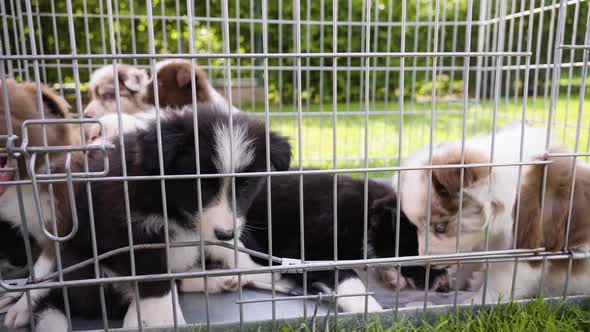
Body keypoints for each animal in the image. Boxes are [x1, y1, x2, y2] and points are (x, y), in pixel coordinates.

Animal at [32, 104, 292, 330]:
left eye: (245, 185)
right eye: (201, 185)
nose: (225, 233)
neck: (170, 201)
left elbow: (228, 247)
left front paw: (255, 268)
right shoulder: (134, 230)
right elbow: (156, 278)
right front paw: (161, 320)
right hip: (83, 267)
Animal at [243, 175, 450, 312]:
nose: (446, 288)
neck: (366, 214)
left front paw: (390, 273)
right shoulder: (304, 249)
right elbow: (348, 277)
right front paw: (371, 310)